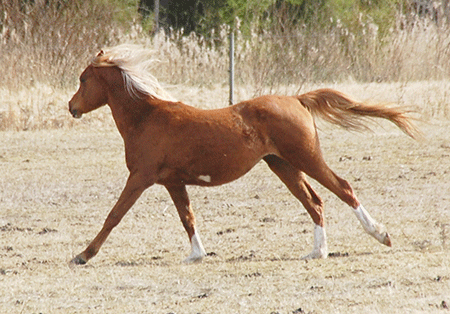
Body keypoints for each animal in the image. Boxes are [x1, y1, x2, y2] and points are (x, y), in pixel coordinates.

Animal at [68, 44, 420, 264]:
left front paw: (83, 255)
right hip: (283, 164)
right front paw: (196, 255)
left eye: (83, 79)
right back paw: (317, 252)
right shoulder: (173, 182)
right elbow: (187, 217)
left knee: (342, 189)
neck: (146, 117)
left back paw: (380, 235)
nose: (71, 107)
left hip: (305, 157)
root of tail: (297, 99)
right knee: (314, 201)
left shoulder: (140, 177)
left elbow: (114, 215)